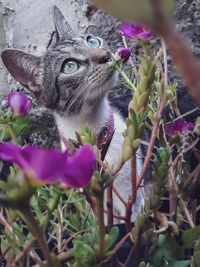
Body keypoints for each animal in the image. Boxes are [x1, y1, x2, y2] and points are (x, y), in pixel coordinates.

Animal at [0, 5, 144, 222]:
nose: (105, 54)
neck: (92, 129)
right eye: (70, 66)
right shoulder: (94, 200)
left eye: (92, 41)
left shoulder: (131, 194)